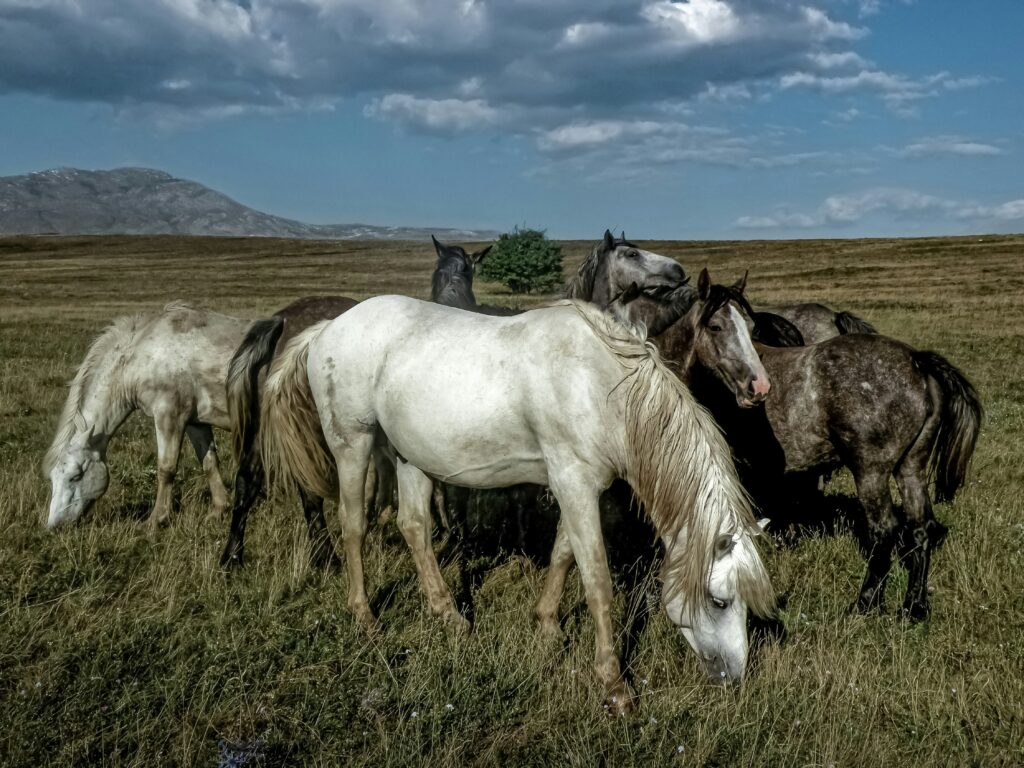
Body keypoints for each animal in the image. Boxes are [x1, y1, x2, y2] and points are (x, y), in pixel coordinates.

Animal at [44, 303, 249, 530]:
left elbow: (166, 469)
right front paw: (219, 510)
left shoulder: (169, 416)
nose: (54, 525)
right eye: (53, 478)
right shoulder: (196, 422)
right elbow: (209, 463)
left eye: (76, 476)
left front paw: (156, 520)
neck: (142, 354)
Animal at [220, 295, 359, 569]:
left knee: (247, 483)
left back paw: (233, 556)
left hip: (265, 433)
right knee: (310, 493)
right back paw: (327, 558)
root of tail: (281, 321)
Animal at [259, 296, 774, 713]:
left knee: (414, 527)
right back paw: (366, 618)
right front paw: (614, 686)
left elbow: (564, 554)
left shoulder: (577, 486)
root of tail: (328, 327)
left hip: (411, 455)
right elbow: (597, 582)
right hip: (353, 444)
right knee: (353, 526)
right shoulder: (574, 484)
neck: (600, 384)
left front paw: (547, 626)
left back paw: (450, 616)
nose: (735, 678)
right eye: (720, 601)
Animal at [614, 285, 983, 620]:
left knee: (885, 532)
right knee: (920, 530)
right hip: (911, 469)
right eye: (716, 326)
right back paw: (914, 607)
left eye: (747, 327)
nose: (757, 387)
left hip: (871, 472)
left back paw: (865, 603)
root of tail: (916, 361)